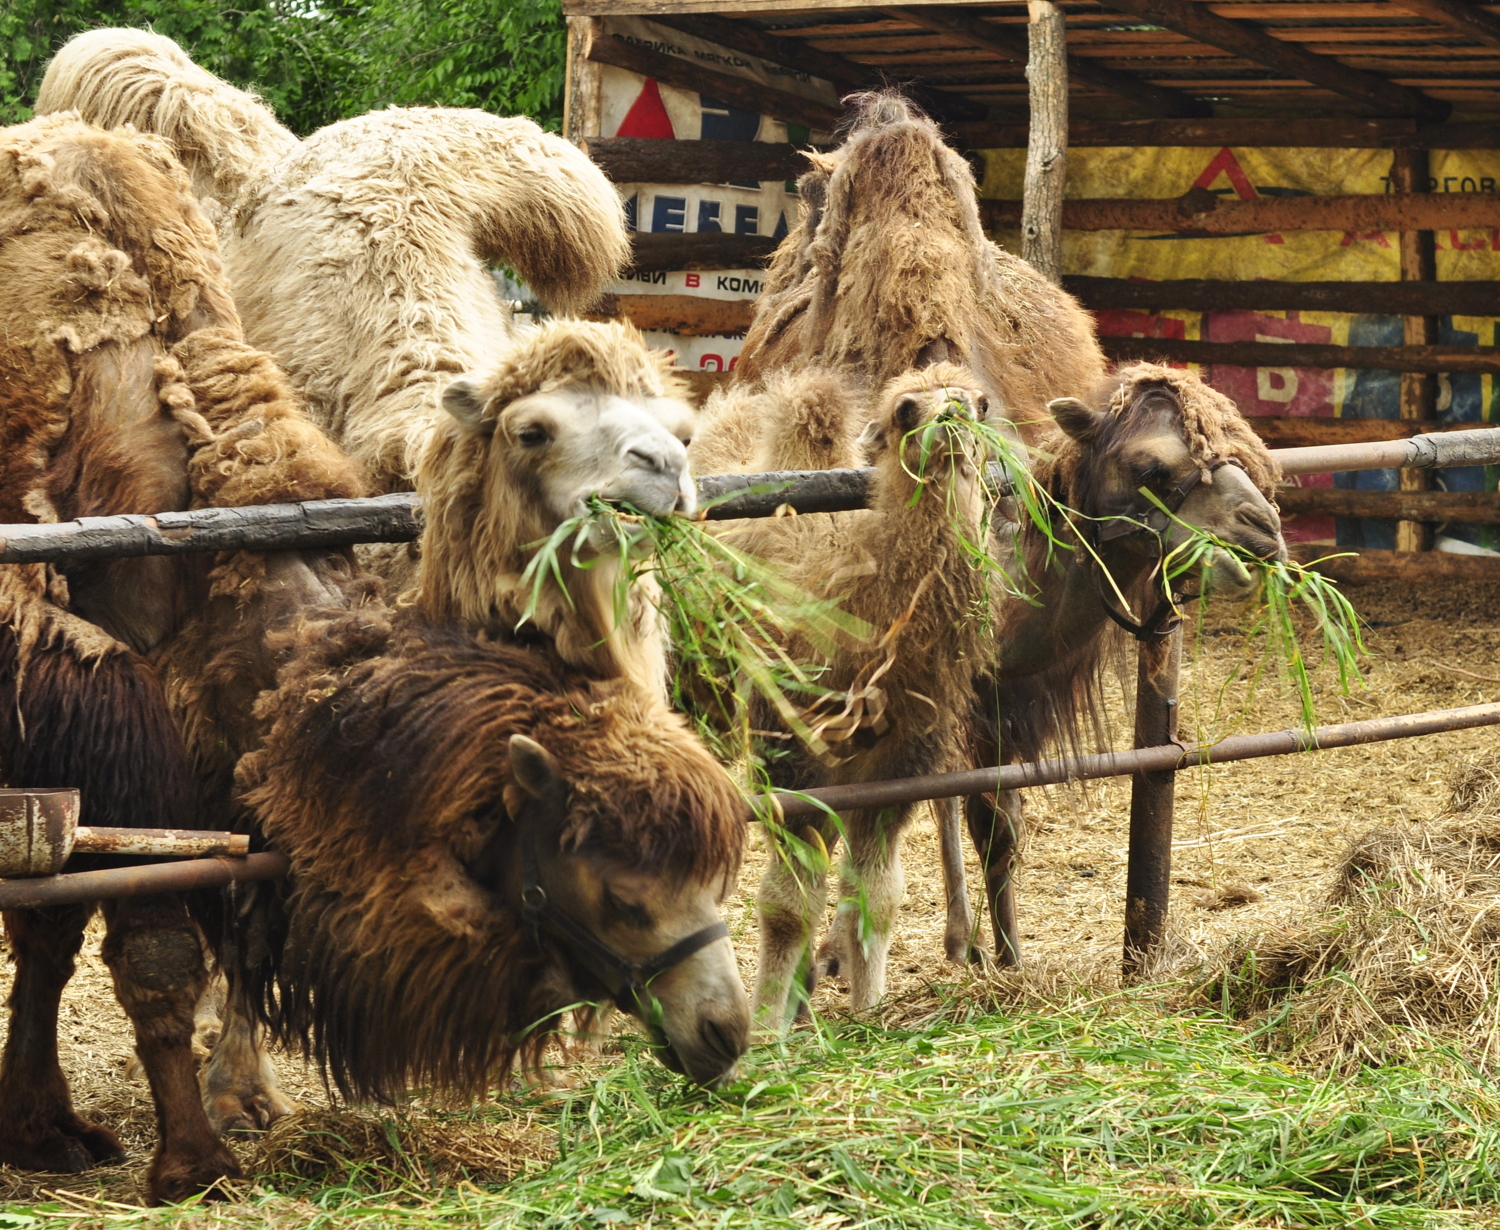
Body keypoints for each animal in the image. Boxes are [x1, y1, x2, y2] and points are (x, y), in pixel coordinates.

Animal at [696, 360, 1002, 1026]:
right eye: (904, 410)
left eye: (980, 402)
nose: (952, 417)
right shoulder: (790, 748)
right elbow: (786, 901)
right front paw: (764, 1024)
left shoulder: (900, 764)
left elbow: (877, 894)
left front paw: (869, 1010)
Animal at [948, 360, 1290, 966]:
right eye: (1151, 468)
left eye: (1247, 454)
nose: (1264, 531)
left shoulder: (1003, 703)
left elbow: (999, 828)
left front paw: (1011, 963)